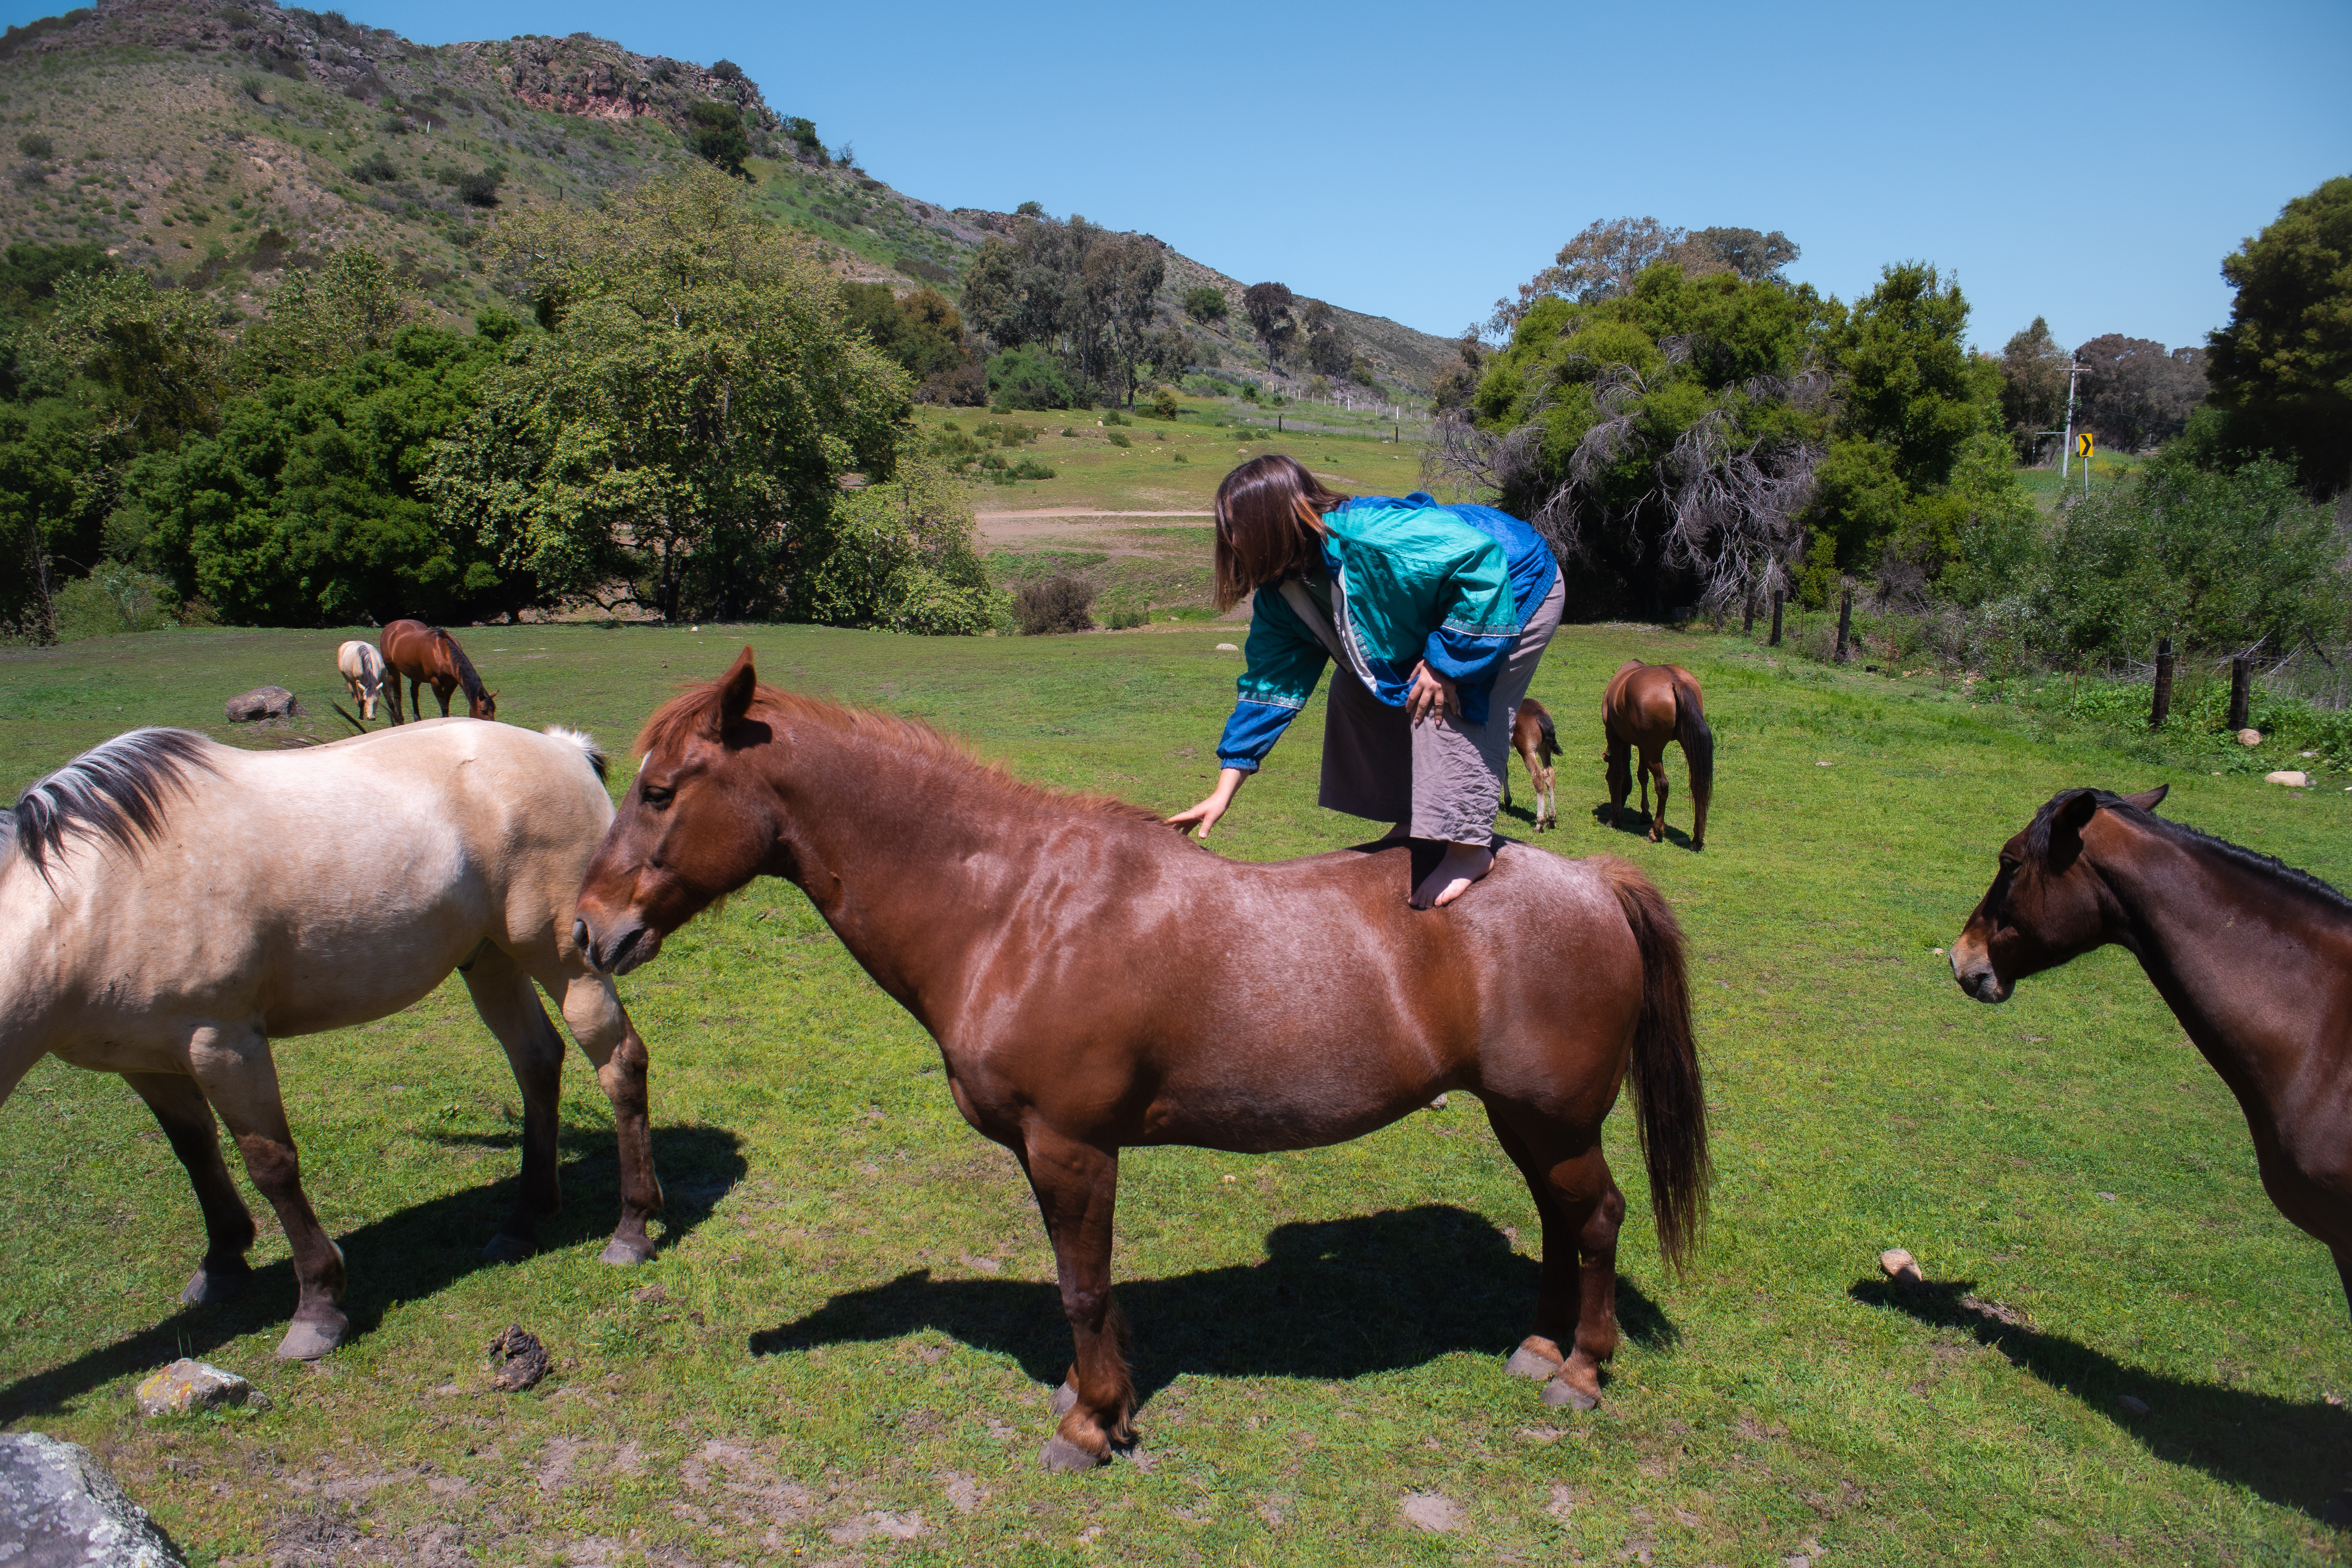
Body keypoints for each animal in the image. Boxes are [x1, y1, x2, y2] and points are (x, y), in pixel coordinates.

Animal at [0, 720, 664, 1361]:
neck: (90, 899)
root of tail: (566, 751)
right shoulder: (146, 1062)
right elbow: (194, 1150)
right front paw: (222, 1262)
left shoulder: (224, 1045)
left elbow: (272, 1166)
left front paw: (317, 1308)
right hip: (491, 961)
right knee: (537, 1063)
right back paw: (524, 1221)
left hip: (570, 961)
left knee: (620, 1065)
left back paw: (631, 1228)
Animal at [336, 639, 387, 722]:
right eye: (365, 700)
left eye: (377, 701)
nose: (371, 718)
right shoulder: (358, 682)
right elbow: (360, 700)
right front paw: (361, 717)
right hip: (348, 678)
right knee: (353, 689)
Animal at [380, 619, 497, 724]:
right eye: (483, 711)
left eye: (494, 709)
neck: (442, 652)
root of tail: (392, 627)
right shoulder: (435, 683)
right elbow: (444, 706)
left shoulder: (452, 684)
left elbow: (446, 704)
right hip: (393, 671)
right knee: (397, 694)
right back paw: (400, 720)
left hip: (415, 674)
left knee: (414, 693)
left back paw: (417, 719)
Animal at [1505, 696, 1559, 831]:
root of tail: (1539, 714)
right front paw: (1507, 803)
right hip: (1545, 748)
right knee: (1550, 774)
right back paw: (1551, 820)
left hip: (1527, 751)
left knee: (1538, 776)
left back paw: (1540, 823)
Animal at [1603, 661, 1713, 850]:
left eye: (1606, 780)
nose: (1615, 808)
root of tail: (1676, 681)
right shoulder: (1641, 745)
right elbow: (1642, 776)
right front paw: (1645, 814)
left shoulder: (1615, 737)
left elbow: (1619, 774)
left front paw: (1615, 819)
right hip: (1685, 746)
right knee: (1697, 785)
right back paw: (1697, 840)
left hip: (1654, 752)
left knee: (1662, 785)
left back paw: (1656, 832)